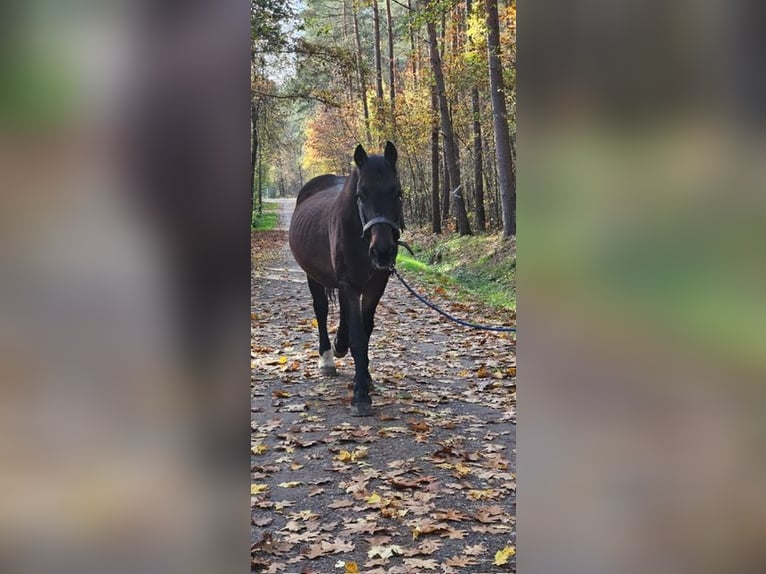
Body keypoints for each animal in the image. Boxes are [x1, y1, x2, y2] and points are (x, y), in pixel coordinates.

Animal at [290, 142, 408, 416]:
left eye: (397, 192)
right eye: (360, 195)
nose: (382, 251)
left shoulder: (376, 284)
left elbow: (365, 330)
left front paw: (364, 378)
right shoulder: (349, 284)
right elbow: (357, 336)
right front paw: (361, 394)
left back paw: (339, 345)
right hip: (314, 276)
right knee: (321, 311)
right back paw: (327, 358)